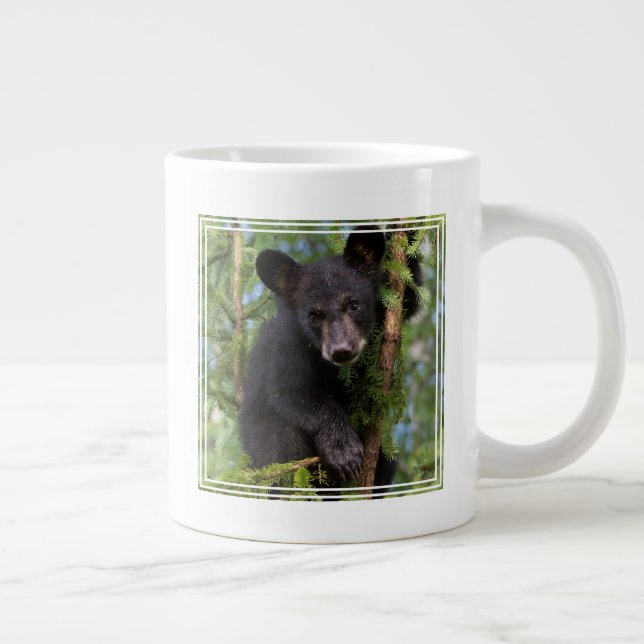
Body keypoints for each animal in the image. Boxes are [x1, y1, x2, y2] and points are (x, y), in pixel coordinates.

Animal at [238, 227, 421, 488]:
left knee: (387, 460)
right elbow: (291, 392)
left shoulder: (387, 306)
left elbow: (408, 295)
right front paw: (343, 451)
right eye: (313, 315)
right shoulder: (287, 346)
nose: (341, 349)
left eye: (354, 304)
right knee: (283, 445)